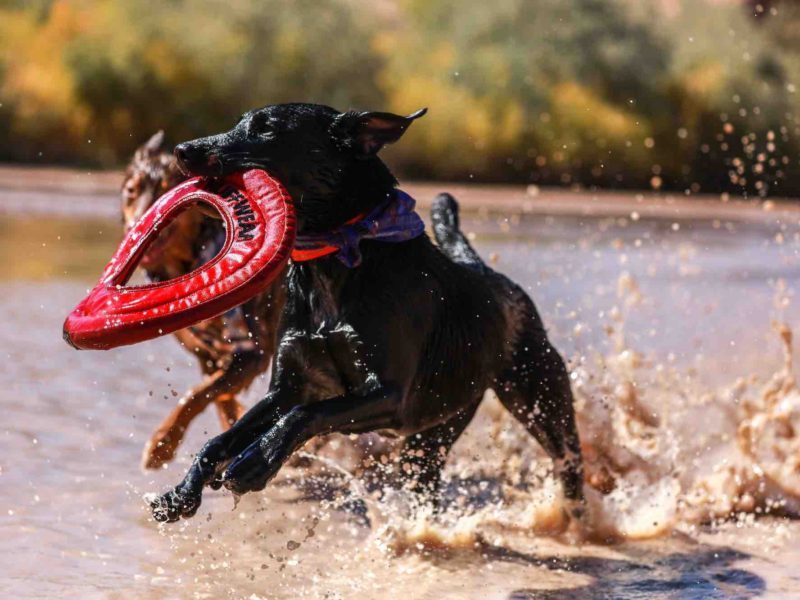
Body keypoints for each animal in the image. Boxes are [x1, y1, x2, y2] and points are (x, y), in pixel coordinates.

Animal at [120, 130, 286, 468]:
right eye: (132, 191)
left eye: (166, 190)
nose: (136, 229)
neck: (197, 255)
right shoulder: (206, 356)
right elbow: (218, 398)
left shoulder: (253, 351)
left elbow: (198, 395)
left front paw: (161, 444)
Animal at [152, 104, 580, 524]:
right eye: (239, 122)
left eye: (267, 129)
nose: (183, 150)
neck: (333, 263)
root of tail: (486, 272)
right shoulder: (287, 386)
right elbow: (221, 438)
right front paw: (181, 493)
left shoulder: (387, 395)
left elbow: (306, 414)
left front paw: (255, 462)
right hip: (437, 429)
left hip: (541, 400)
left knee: (568, 462)